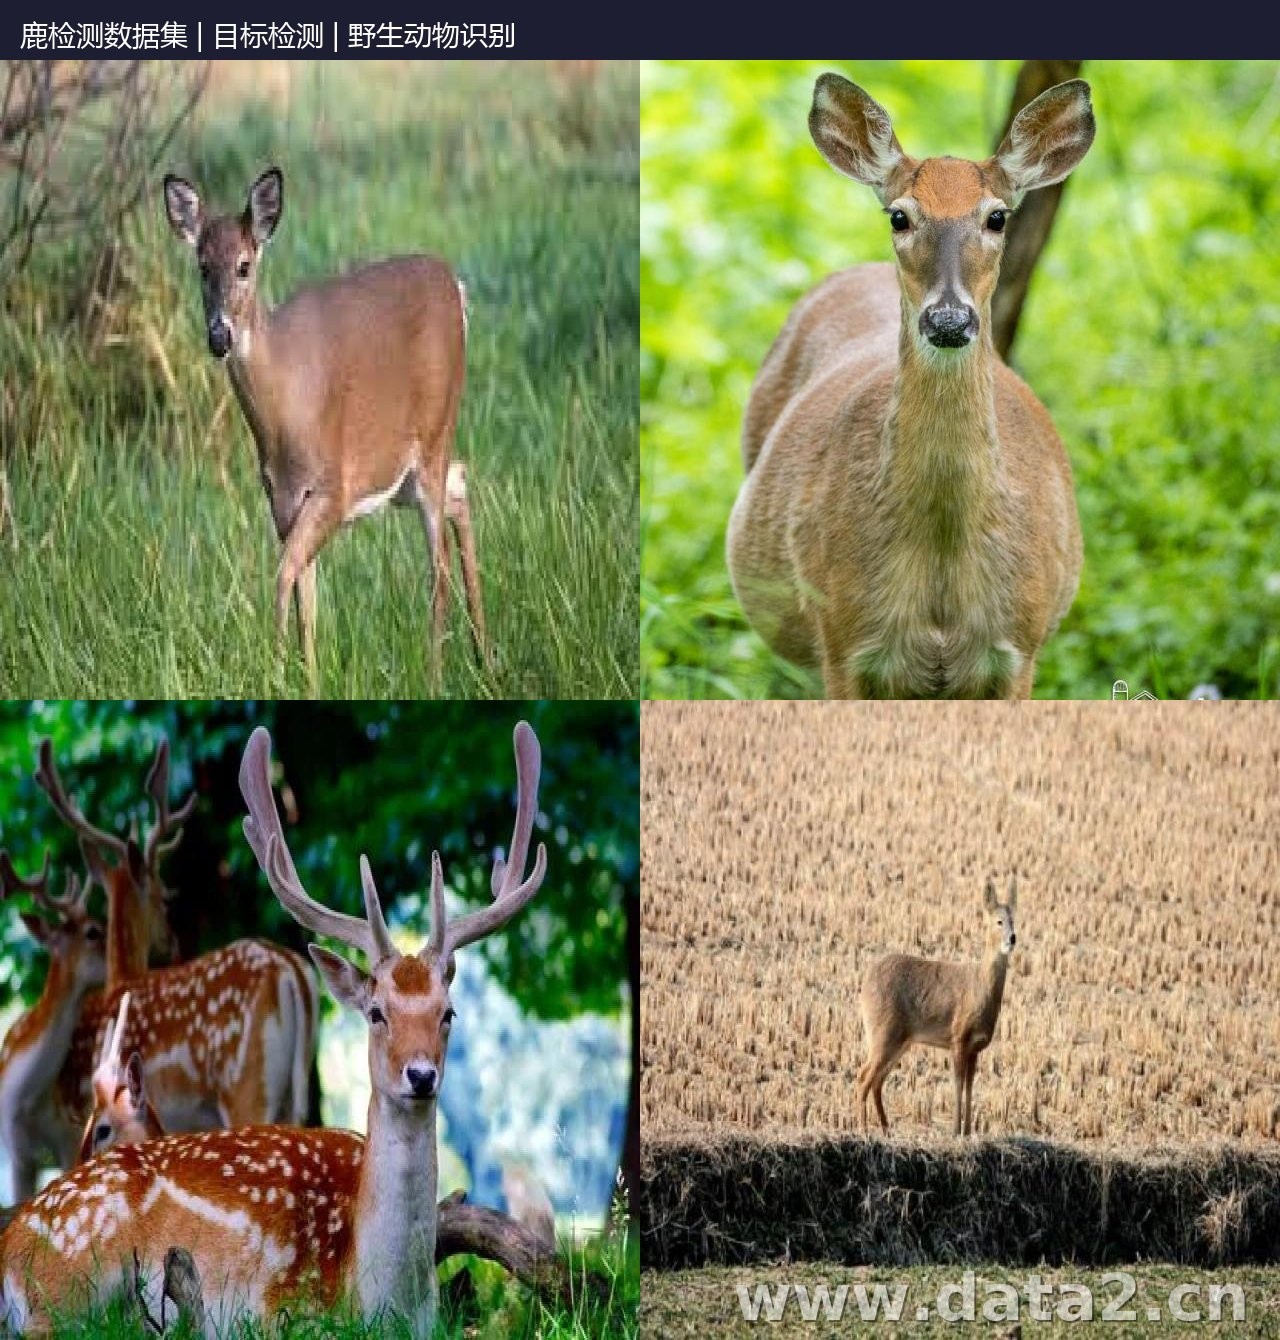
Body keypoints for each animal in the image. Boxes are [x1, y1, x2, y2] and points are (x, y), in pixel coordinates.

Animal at [162, 166, 488, 690]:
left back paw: (436, 678)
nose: (219, 336)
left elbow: (283, 578)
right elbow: (306, 601)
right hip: (408, 470)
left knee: (437, 567)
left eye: (245, 266)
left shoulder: (335, 487)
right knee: (460, 488)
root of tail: (454, 285)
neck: (284, 416)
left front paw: (273, 673)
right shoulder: (283, 502)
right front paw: (307, 681)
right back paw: (486, 661)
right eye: (202, 267)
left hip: (436, 430)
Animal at [857, 877, 1017, 1136]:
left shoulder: (975, 1047)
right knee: (863, 1076)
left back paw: (886, 1129)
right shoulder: (958, 1038)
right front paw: (955, 1130)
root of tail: (864, 982)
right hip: (882, 1032)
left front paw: (968, 1131)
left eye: (1015, 920)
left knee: (877, 1080)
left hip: (900, 1040)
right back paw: (864, 1129)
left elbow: (970, 1087)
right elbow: (958, 1085)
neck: (979, 987)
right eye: (998, 921)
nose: (1012, 939)